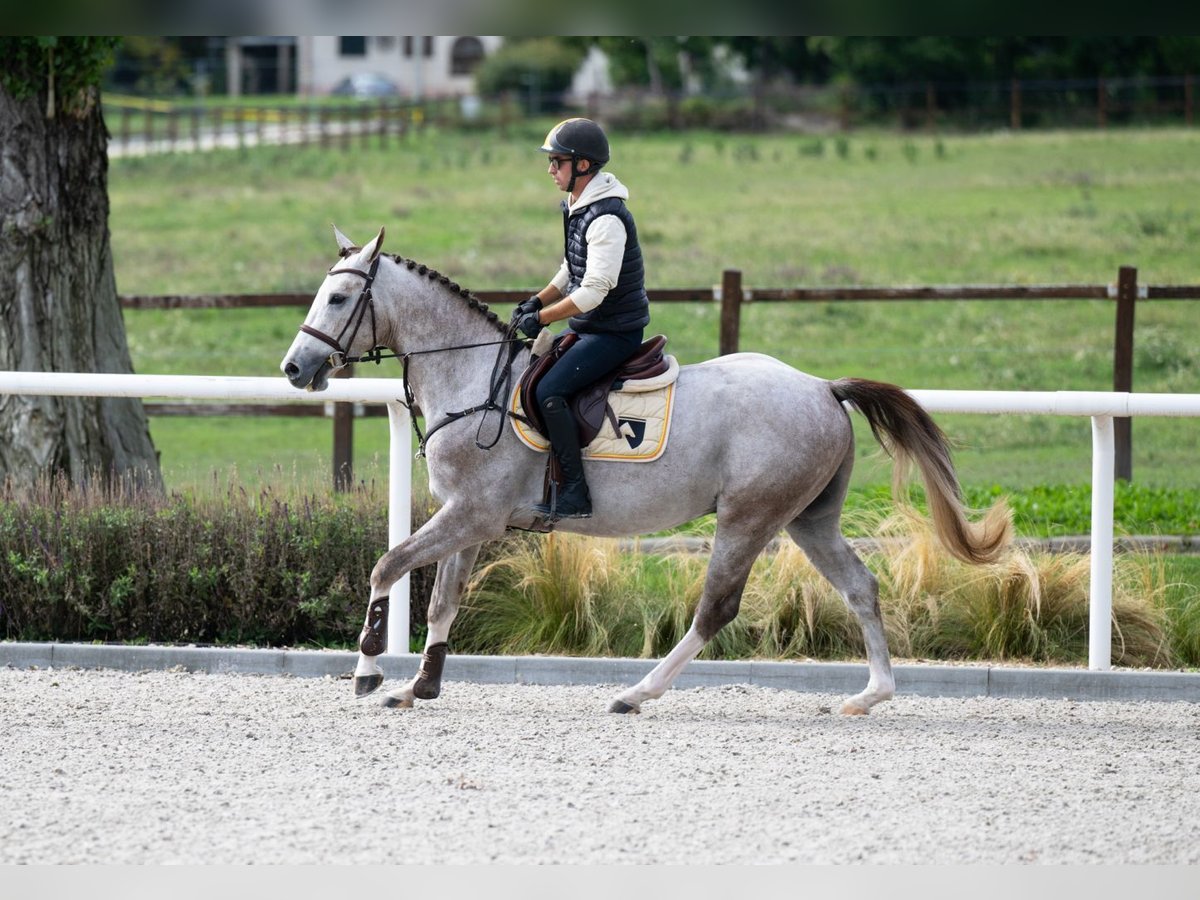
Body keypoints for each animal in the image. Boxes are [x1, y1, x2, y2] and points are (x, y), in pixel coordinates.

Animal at [280, 226, 1012, 720]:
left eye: (339, 297)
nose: (294, 368)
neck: (472, 378)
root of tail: (823, 389)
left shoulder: (471, 515)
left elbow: (388, 566)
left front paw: (368, 672)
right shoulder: (471, 519)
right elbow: (441, 600)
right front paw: (421, 685)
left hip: (748, 518)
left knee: (717, 609)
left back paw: (637, 692)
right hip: (809, 519)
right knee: (860, 586)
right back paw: (871, 695)